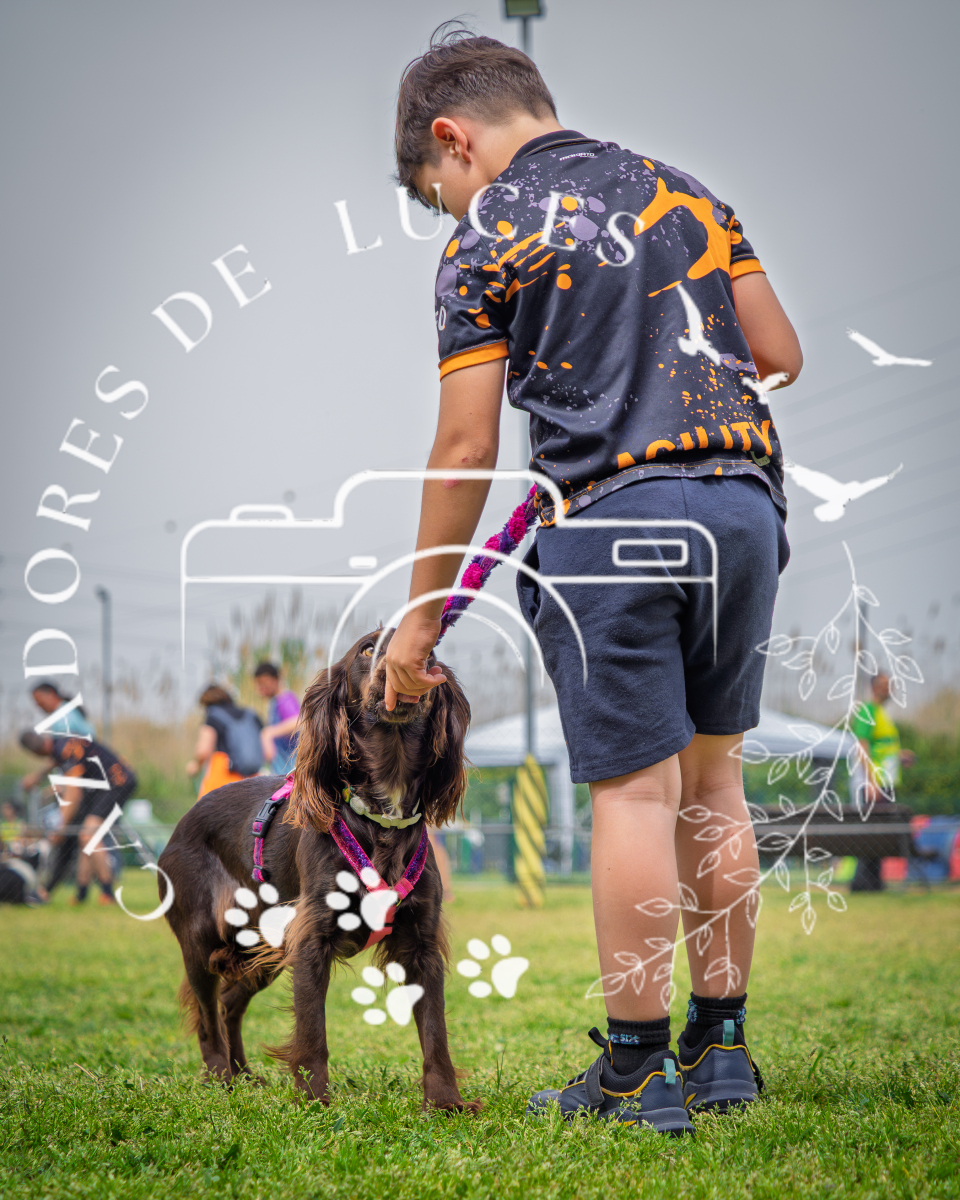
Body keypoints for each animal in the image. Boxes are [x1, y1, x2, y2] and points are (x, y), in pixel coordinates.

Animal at [159, 630, 480, 1112]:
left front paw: (445, 1102)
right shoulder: (312, 936)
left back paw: (245, 1075)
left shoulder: (420, 943)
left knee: (230, 1003)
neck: (380, 819)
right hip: (201, 939)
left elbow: (434, 1032)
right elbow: (312, 1029)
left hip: (263, 946)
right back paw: (222, 1079)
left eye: (433, 649)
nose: (413, 659)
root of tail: (181, 823)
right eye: (367, 648)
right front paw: (313, 1100)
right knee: (208, 1015)